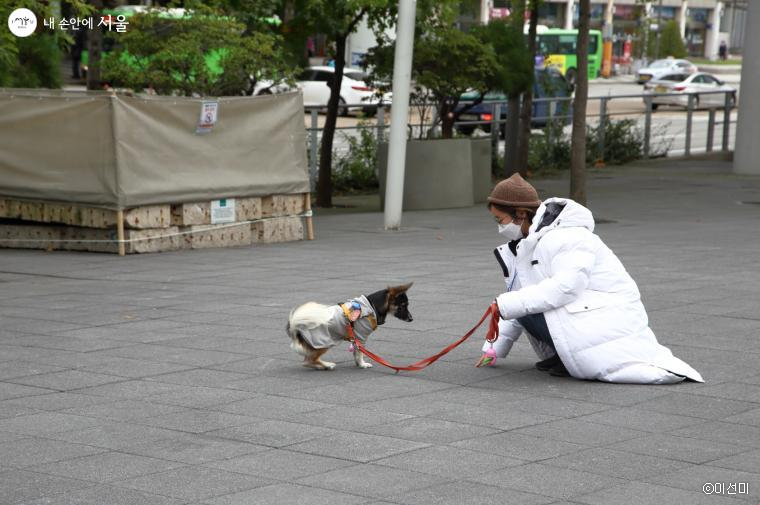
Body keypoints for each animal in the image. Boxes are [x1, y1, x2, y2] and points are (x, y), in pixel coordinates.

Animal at [286, 284, 416, 370]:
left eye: (407, 305)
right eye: (402, 306)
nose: (411, 319)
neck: (371, 306)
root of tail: (295, 328)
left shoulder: (356, 338)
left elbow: (356, 353)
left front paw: (358, 364)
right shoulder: (361, 337)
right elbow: (360, 353)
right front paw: (362, 364)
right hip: (323, 342)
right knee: (308, 361)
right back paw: (327, 365)